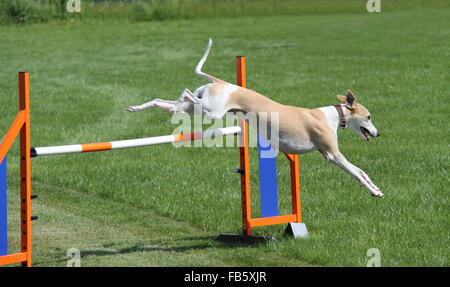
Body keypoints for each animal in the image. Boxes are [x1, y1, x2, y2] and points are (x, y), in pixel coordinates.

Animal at [126, 38, 384, 198]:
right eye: (369, 116)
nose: (378, 133)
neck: (332, 115)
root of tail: (221, 82)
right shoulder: (332, 154)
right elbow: (357, 173)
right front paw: (373, 191)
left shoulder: (330, 154)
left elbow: (361, 172)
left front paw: (377, 189)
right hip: (211, 111)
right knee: (185, 91)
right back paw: (174, 100)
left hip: (198, 108)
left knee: (165, 101)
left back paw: (139, 107)